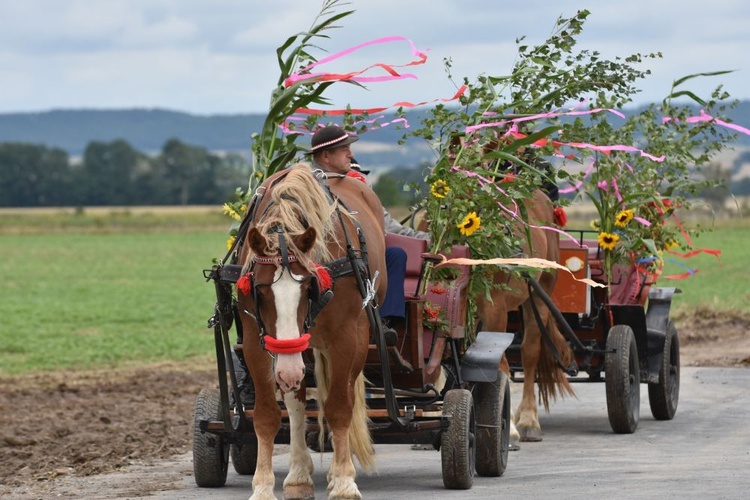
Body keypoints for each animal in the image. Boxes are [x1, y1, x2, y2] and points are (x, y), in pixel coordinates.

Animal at [238, 164, 388, 500]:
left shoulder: (347, 338)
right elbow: (267, 414)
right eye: (260, 291)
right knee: (296, 406)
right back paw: (297, 473)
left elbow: (339, 408)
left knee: (342, 395)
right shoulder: (256, 340)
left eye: (309, 286)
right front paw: (262, 486)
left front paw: (344, 481)